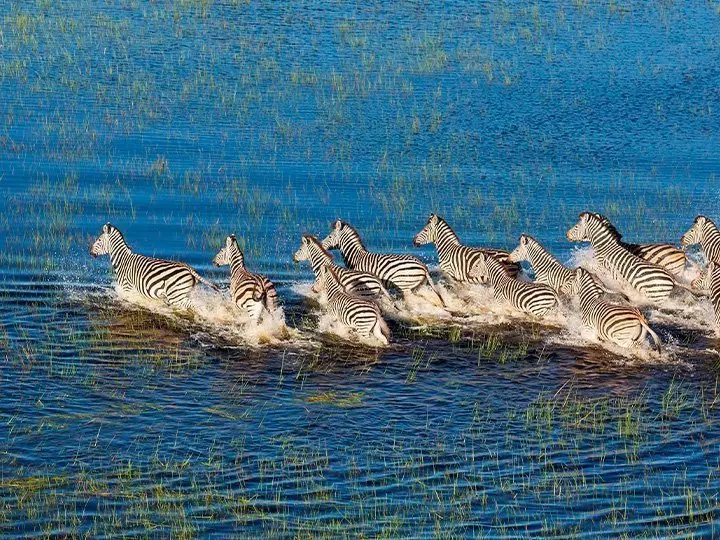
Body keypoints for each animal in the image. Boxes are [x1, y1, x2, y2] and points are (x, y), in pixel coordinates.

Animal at [90, 223, 218, 309]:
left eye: (99, 240)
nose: (90, 252)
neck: (122, 260)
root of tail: (189, 269)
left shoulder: (127, 288)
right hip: (182, 293)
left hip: (175, 295)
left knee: (193, 305)